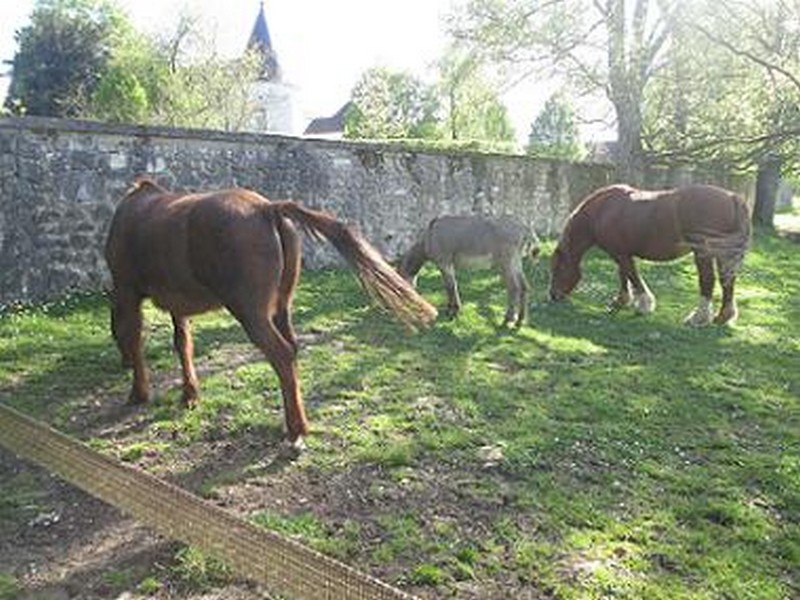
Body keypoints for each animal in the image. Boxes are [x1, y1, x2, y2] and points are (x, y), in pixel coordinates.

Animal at [104, 178, 438, 446]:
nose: (120, 363)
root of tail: (267, 208)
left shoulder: (128, 291)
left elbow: (135, 338)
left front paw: (139, 392)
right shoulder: (177, 304)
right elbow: (183, 344)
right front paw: (189, 394)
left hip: (251, 313)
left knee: (281, 355)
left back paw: (296, 428)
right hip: (281, 308)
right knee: (292, 350)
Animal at [552, 183, 752, 326]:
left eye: (557, 269)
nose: (553, 296)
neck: (602, 211)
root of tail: (732, 197)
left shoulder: (620, 254)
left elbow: (632, 276)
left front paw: (643, 306)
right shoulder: (621, 253)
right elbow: (624, 275)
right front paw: (621, 302)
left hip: (703, 253)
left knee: (708, 280)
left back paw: (698, 318)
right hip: (722, 254)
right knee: (727, 281)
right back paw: (723, 317)